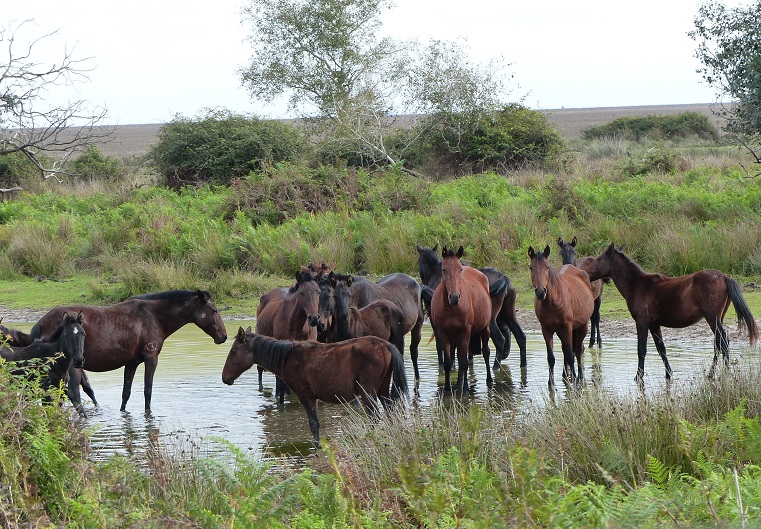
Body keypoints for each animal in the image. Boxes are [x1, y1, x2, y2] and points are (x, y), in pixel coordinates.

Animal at [30, 288, 226, 412]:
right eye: (214, 310)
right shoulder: (151, 359)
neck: (153, 316)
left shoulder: (132, 363)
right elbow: (148, 391)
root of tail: (40, 324)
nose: (223, 336)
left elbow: (126, 393)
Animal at [221, 328, 406, 448]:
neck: (288, 357)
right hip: (382, 389)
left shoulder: (306, 396)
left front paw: (317, 448)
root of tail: (385, 345)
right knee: (390, 413)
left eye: (234, 351)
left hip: (368, 391)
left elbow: (314, 424)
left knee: (374, 417)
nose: (225, 378)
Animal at [428, 244, 492, 392]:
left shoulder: (465, 331)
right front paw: (447, 389)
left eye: (460, 269)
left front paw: (464, 390)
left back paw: (489, 380)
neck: (451, 309)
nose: (454, 297)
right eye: (444, 269)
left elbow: (463, 362)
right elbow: (448, 362)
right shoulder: (444, 333)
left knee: (486, 352)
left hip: (484, 328)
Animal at [528, 245, 592, 386]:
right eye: (531, 267)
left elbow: (570, 355)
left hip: (582, 326)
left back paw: (580, 376)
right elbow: (551, 357)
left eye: (547, 267)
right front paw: (551, 383)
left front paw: (574, 381)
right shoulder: (546, 330)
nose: (540, 292)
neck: (553, 302)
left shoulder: (567, 327)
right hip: (561, 331)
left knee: (578, 350)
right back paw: (565, 374)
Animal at [580, 243, 756, 384]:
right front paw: (669, 374)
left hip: (712, 318)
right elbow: (661, 349)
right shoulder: (654, 325)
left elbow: (641, 350)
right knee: (719, 343)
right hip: (719, 317)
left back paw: (724, 372)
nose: (585, 273)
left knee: (723, 341)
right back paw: (713, 374)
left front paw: (639, 377)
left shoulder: (642, 323)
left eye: (599, 259)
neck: (638, 285)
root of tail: (724, 277)